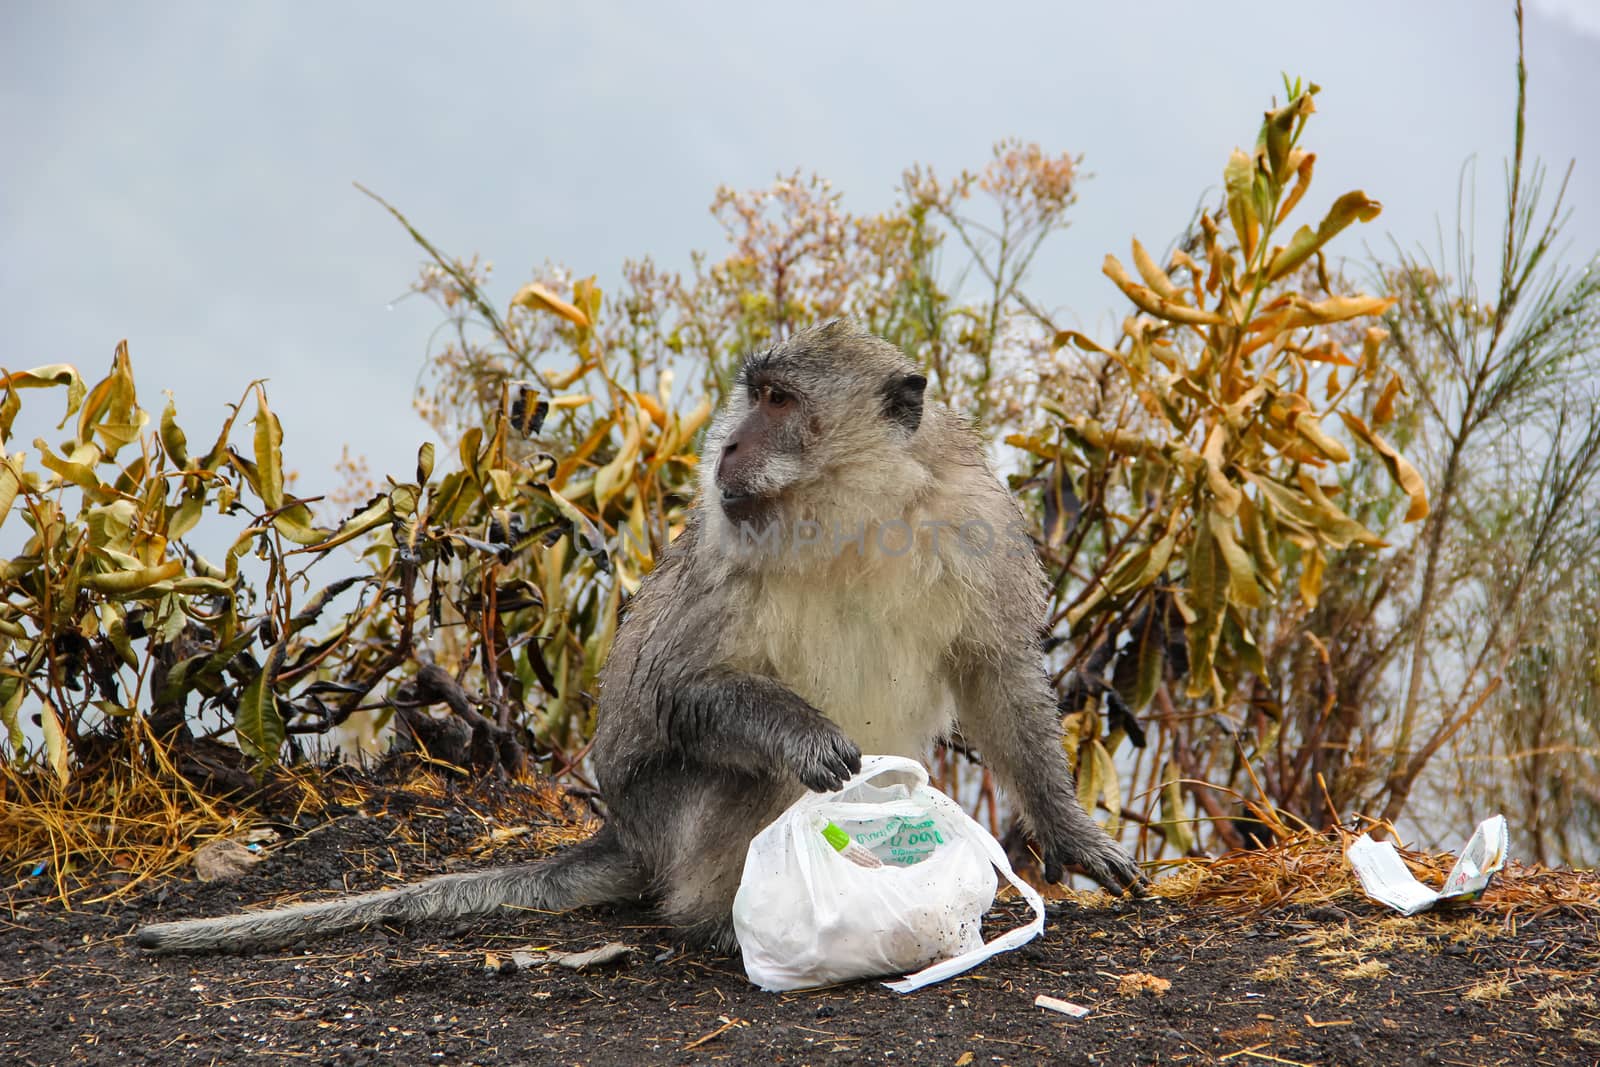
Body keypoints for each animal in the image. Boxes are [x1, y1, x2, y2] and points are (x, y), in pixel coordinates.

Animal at [134, 321, 1139, 953]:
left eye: (779, 399)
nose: (728, 446)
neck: (855, 513)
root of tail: (628, 835)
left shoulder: (978, 525)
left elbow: (996, 674)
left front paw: (1072, 834)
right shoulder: (726, 552)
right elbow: (672, 692)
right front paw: (805, 733)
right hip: (672, 819)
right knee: (750, 773)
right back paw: (721, 917)